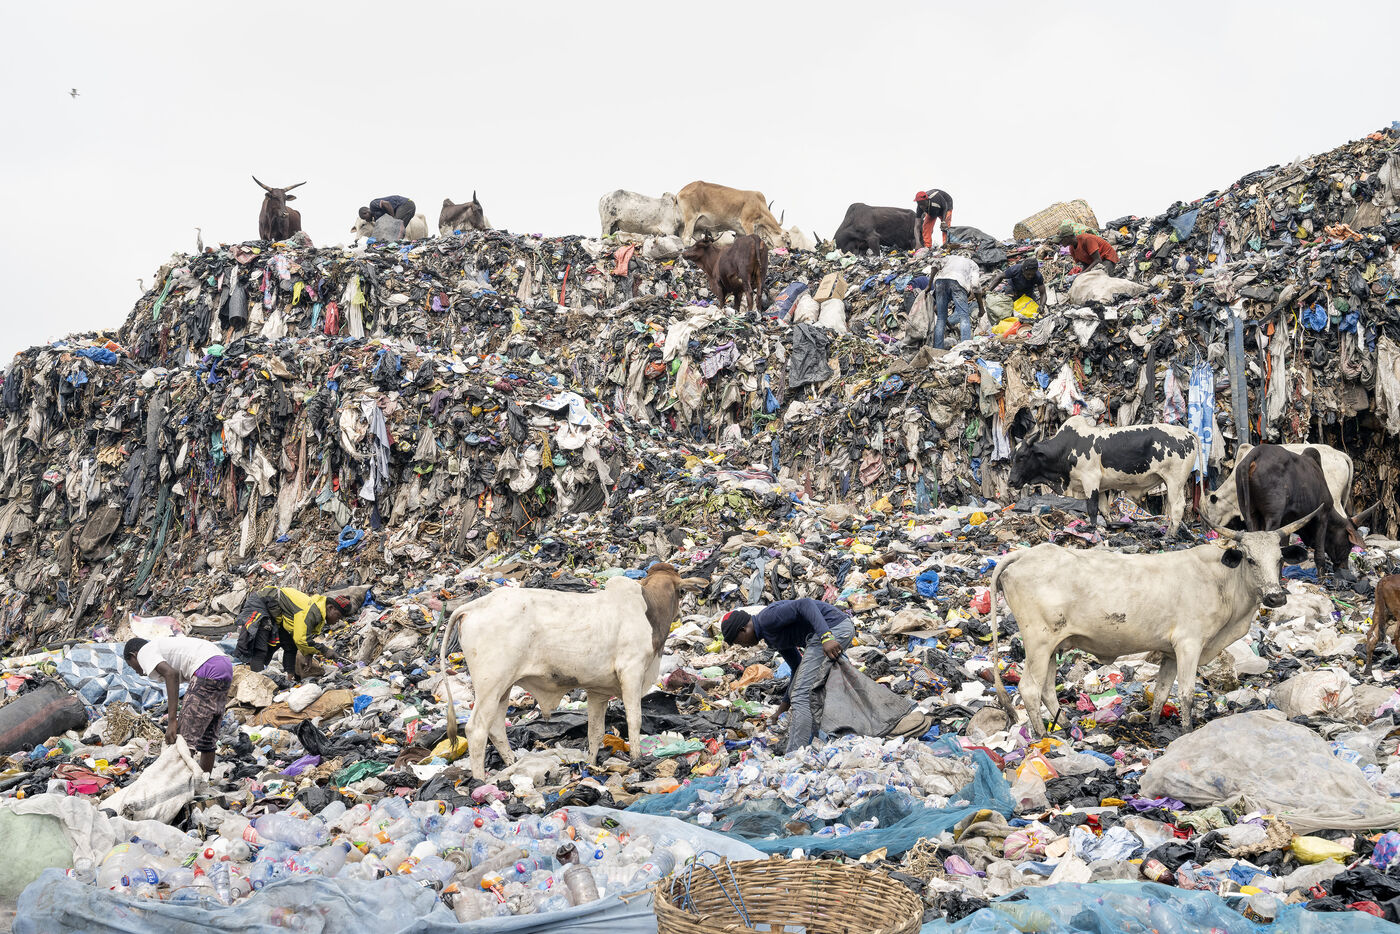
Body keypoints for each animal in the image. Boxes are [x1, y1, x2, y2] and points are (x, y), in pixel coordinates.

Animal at [438, 563, 706, 779]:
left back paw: (512, 764)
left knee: (495, 728)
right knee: (476, 730)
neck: (647, 610)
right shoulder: (632, 671)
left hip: (503, 687)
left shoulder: (598, 691)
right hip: (491, 683)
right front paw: (637, 760)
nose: (681, 612)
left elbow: (595, 732)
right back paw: (480, 780)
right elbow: (634, 719)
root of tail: (474, 606)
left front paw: (590, 765)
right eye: (681, 591)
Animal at [988, 508, 1319, 737]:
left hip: (1053, 646)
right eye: (1250, 560)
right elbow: (1186, 693)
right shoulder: (1189, 644)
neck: (1222, 581)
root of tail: (1025, 555)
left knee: (1046, 689)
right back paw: (1042, 737)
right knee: (1029, 689)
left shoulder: (1171, 652)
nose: (1276, 597)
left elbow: (1161, 692)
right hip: (1039, 641)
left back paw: (1067, 726)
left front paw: (1155, 724)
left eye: (1279, 560)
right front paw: (1186, 731)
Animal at [1007, 416, 1200, 534]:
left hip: (1175, 481)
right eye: (1011, 457)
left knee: (1177, 506)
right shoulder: (1099, 487)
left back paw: (1169, 535)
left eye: (1022, 456)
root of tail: (1187, 432)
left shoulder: (1090, 481)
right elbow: (1104, 510)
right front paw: (1110, 526)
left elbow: (1092, 509)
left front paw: (1093, 529)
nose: (1010, 481)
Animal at [1233, 444, 1375, 577]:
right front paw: (1322, 578)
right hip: (1273, 517)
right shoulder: (1322, 515)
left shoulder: (1287, 523)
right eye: (1349, 544)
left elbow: (1284, 551)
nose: (1344, 568)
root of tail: (1255, 454)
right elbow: (1319, 553)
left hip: (1250, 513)